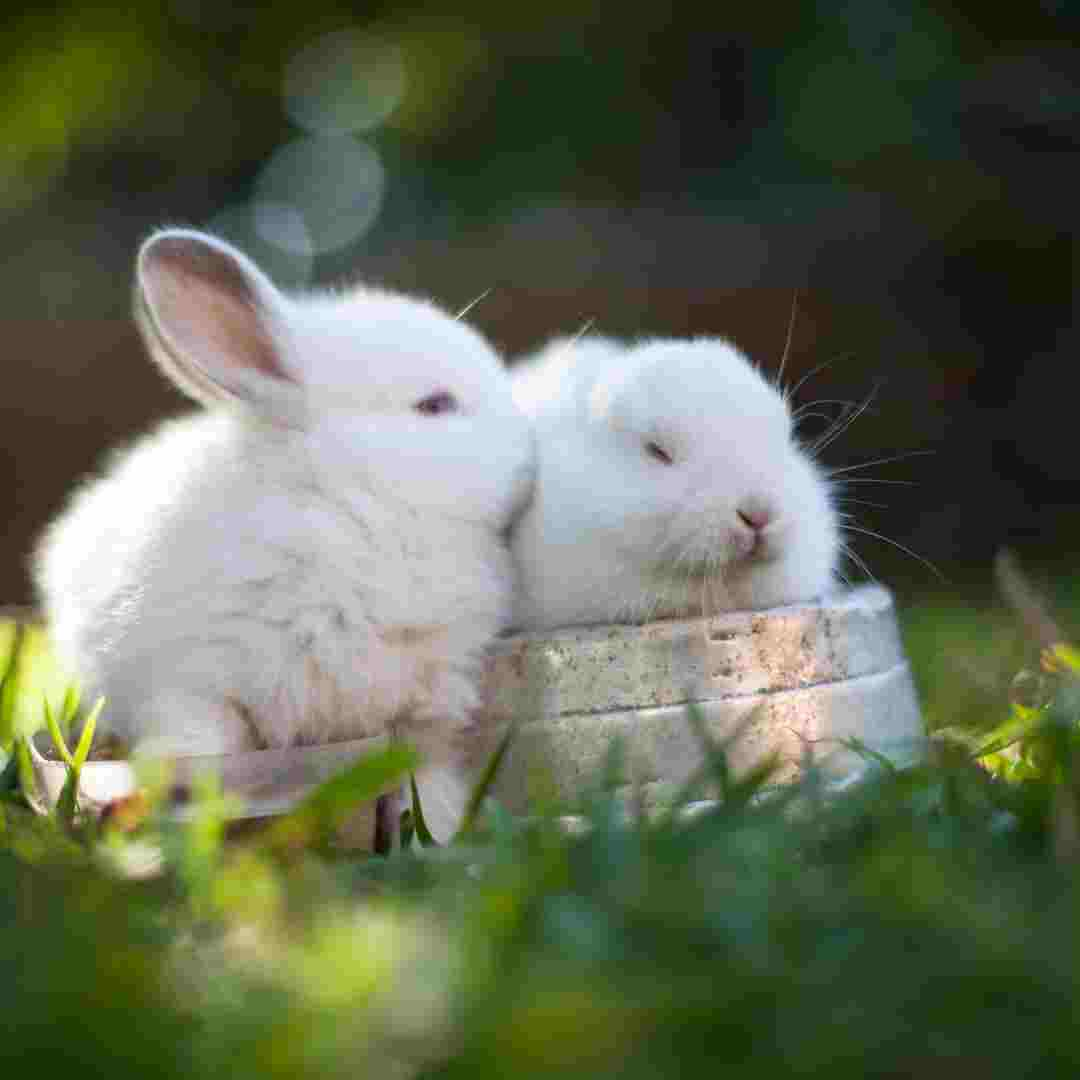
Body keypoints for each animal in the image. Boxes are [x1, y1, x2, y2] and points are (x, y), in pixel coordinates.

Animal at [34, 225, 535, 833]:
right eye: (435, 405)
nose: (531, 453)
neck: (353, 515)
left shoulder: (426, 713)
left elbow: (426, 785)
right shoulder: (191, 688)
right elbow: (201, 749)